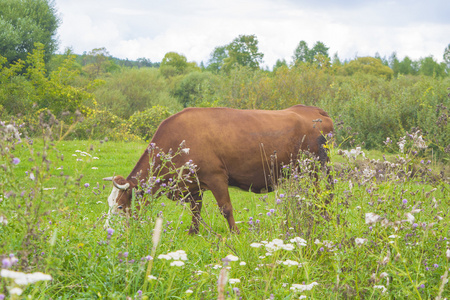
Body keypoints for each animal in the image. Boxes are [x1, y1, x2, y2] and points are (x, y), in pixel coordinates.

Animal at [103, 105, 332, 234]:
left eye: (120, 206)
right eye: (109, 203)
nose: (108, 230)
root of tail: (312, 110)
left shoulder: (216, 177)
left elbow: (225, 208)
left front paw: (235, 232)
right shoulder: (193, 184)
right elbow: (196, 210)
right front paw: (193, 232)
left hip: (314, 169)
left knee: (321, 196)